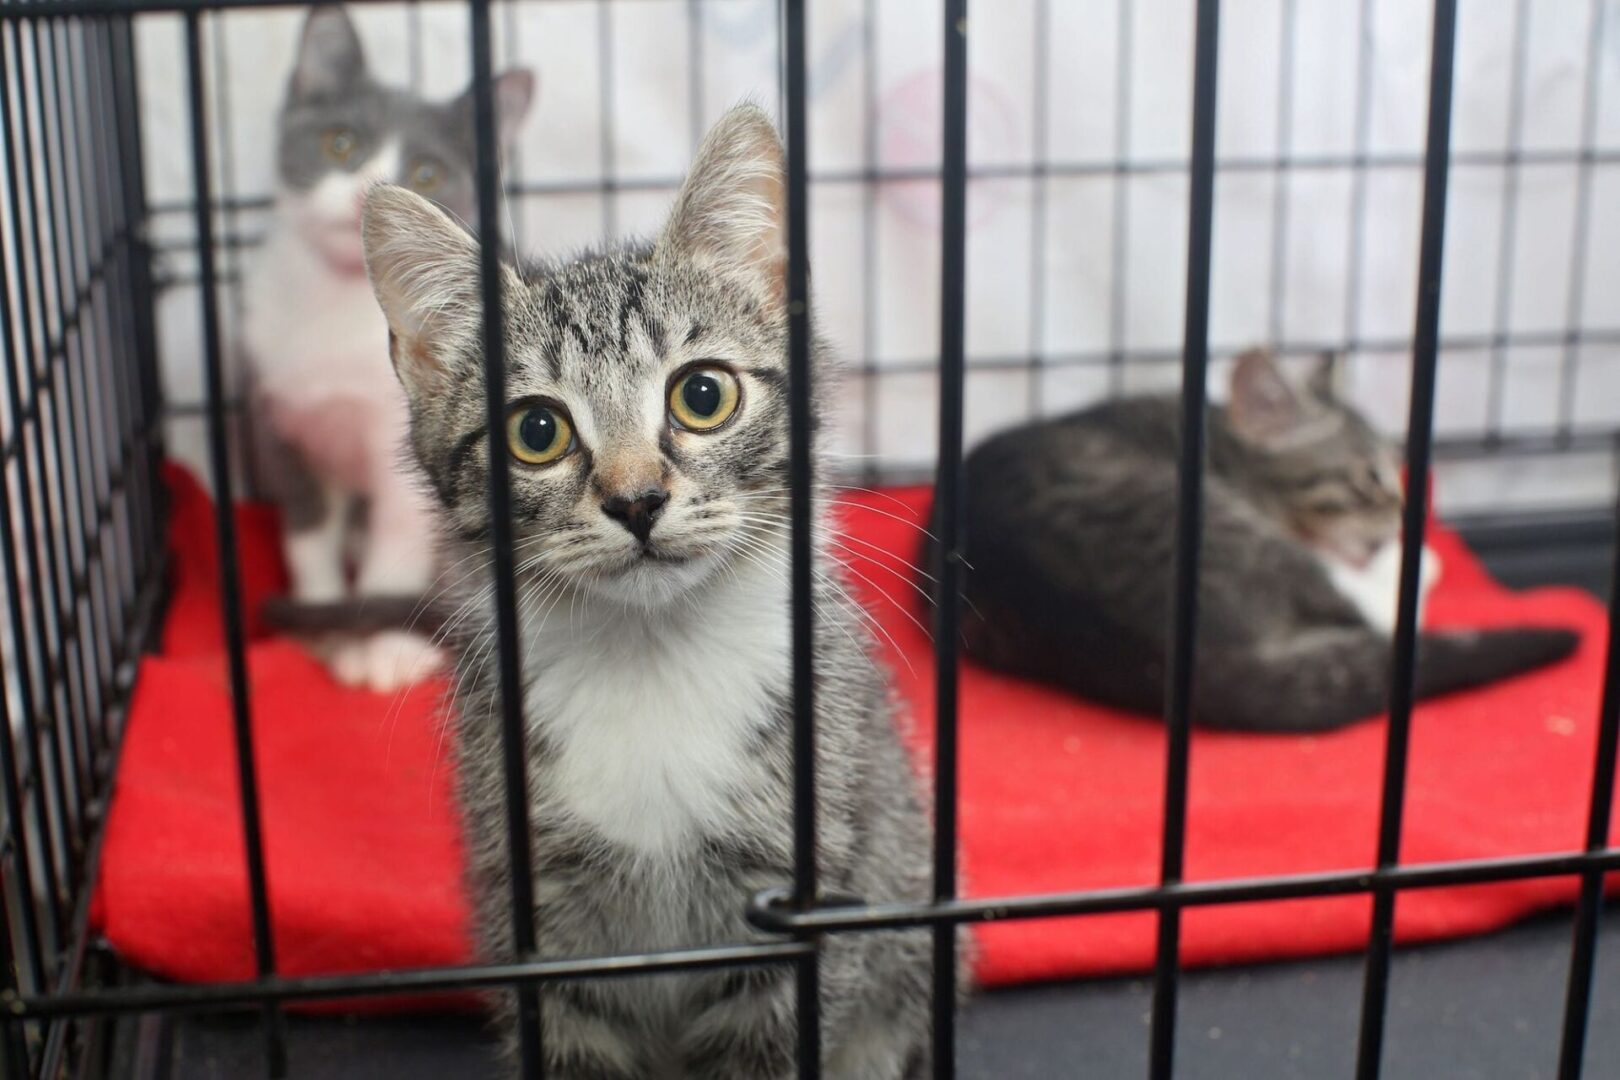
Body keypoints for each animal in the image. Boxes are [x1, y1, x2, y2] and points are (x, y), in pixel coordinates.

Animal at [243, 4, 531, 689]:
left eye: (427, 173)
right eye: (339, 144)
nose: (364, 193)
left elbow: (397, 543)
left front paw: (384, 648)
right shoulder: (280, 419)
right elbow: (307, 535)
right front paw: (322, 624)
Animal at [354, 105, 939, 1075]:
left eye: (703, 394)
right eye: (537, 431)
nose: (635, 500)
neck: (652, 656)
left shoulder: (797, 911)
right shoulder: (540, 922)